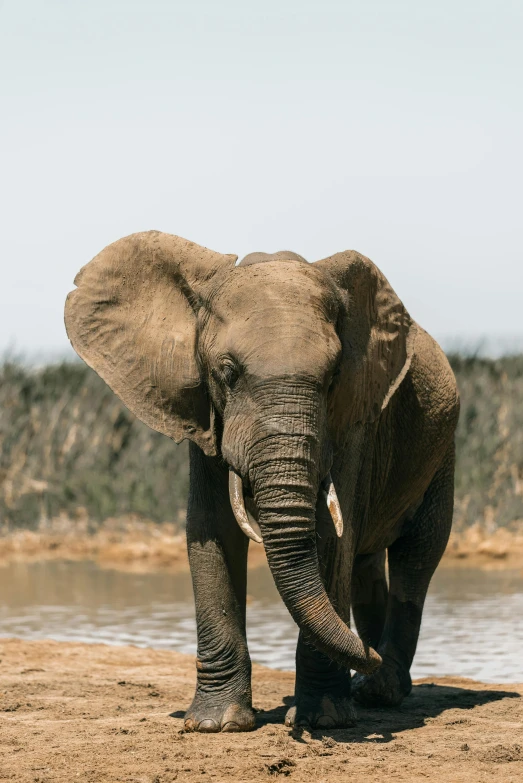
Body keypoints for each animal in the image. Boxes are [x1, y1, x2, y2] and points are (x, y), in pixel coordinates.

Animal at [64, 230, 458, 732]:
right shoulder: (205, 413)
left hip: (443, 449)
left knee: (417, 554)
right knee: (368, 563)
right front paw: (216, 725)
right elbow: (212, 529)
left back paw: (379, 689)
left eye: (334, 377)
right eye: (227, 373)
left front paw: (323, 721)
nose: (363, 656)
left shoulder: (353, 418)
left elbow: (332, 537)